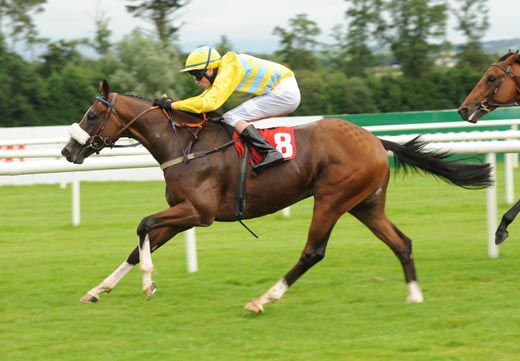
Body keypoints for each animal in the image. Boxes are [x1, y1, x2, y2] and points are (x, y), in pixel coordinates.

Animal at [62, 80, 492, 310]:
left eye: (92, 115)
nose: (67, 151)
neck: (183, 143)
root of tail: (375, 140)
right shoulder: (183, 213)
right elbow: (140, 245)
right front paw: (97, 290)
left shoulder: (198, 212)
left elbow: (143, 225)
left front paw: (148, 284)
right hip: (365, 204)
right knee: (401, 242)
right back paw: (415, 296)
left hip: (332, 199)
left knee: (313, 252)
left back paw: (263, 299)